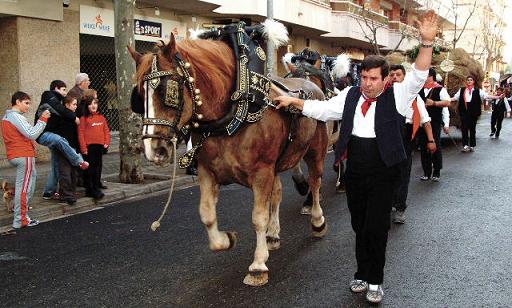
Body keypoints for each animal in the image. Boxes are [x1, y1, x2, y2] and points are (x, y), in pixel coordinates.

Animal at [128, 26, 328, 286]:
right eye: (138, 94)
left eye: (168, 90)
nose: (155, 149)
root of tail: (311, 85)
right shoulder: (208, 172)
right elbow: (206, 214)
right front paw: (226, 239)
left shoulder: (262, 172)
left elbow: (258, 217)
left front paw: (258, 265)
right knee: (277, 194)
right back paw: (273, 236)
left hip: (315, 151)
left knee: (315, 183)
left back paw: (317, 220)